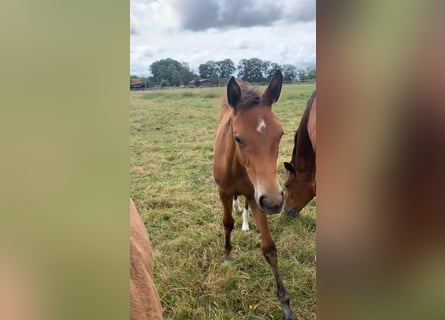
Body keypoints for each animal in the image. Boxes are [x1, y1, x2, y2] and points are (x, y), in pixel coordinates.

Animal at [212, 71, 294, 320]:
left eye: (280, 134)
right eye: (237, 138)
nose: (275, 202)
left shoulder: (257, 196)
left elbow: (269, 247)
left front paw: (286, 305)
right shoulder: (223, 192)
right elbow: (227, 223)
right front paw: (227, 256)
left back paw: (246, 222)